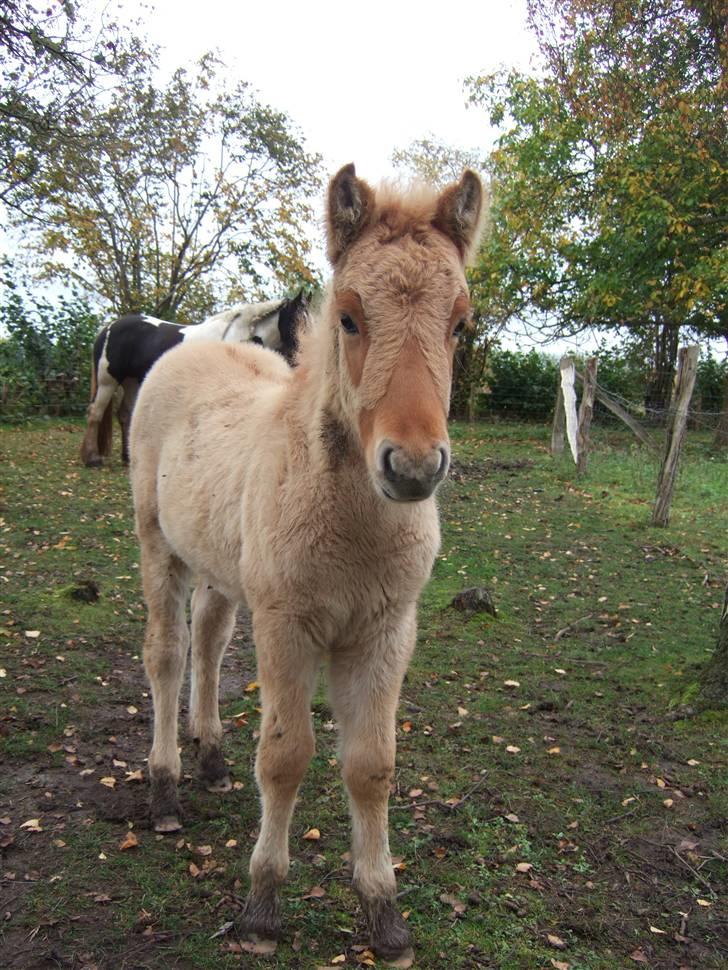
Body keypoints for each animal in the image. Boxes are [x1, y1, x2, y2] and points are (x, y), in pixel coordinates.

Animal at [79, 292, 308, 466]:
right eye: (297, 322)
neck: (241, 335)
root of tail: (109, 327)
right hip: (108, 381)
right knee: (95, 413)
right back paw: (92, 458)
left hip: (132, 382)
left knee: (125, 414)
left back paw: (127, 457)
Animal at [131, 163, 484, 956]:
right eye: (348, 318)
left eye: (460, 324)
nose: (414, 468)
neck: (354, 529)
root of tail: (192, 343)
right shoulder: (287, 624)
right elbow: (287, 756)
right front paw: (262, 907)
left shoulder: (387, 630)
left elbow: (372, 766)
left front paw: (384, 912)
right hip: (158, 544)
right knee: (166, 653)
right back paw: (166, 787)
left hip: (224, 567)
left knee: (209, 640)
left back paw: (211, 757)